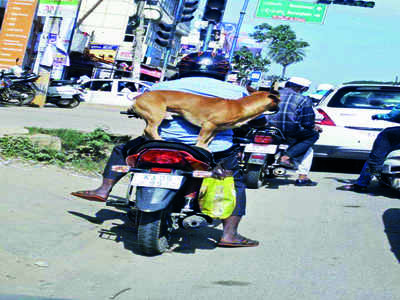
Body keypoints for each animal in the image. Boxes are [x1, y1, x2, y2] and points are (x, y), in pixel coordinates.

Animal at [126, 89, 280, 150]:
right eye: (278, 101)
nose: (279, 109)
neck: (241, 106)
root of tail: (137, 97)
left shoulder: (215, 130)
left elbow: (208, 140)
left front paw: (205, 148)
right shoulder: (208, 125)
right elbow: (201, 139)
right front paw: (200, 147)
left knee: (146, 131)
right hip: (157, 116)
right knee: (150, 129)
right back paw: (160, 139)